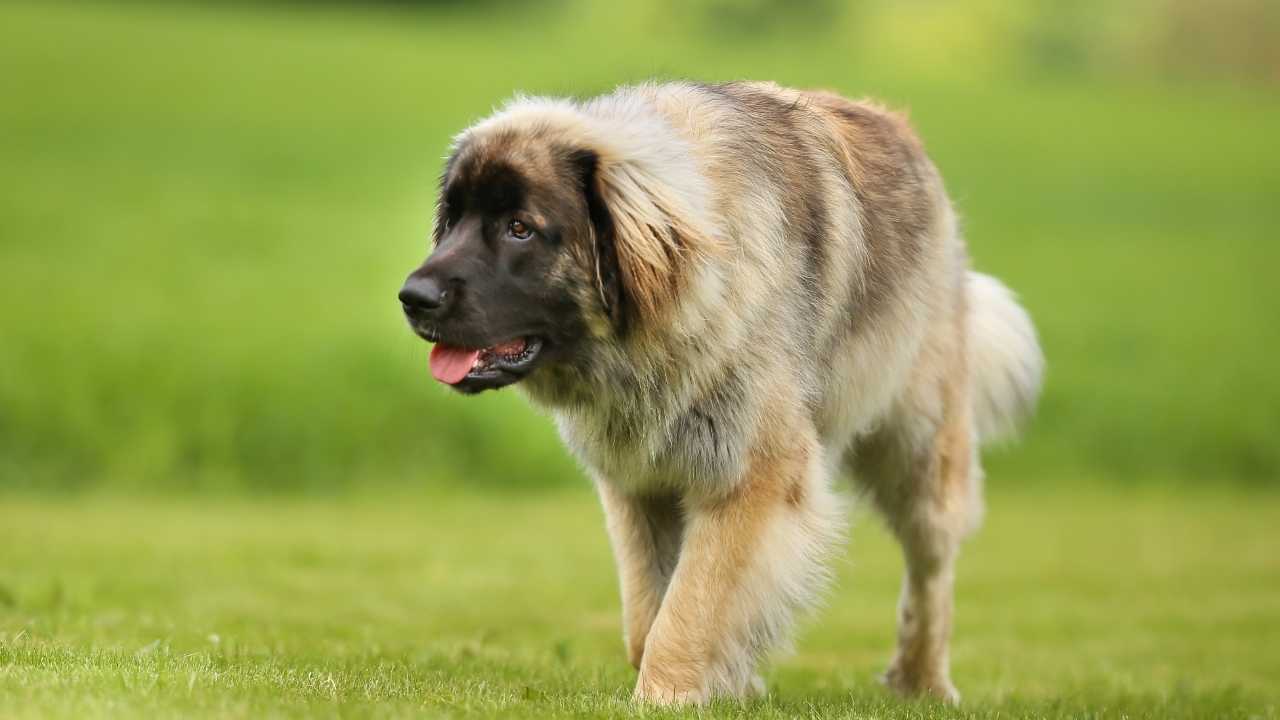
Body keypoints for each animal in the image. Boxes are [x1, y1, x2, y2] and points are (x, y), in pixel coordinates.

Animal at [396, 79, 1039, 702]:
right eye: (453, 222)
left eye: (520, 229)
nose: (413, 297)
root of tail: (902, 132)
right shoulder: (639, 485)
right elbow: (647, 613)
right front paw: (713, 679)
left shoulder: (748, 478)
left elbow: (689, 610)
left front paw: (667, 695)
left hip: (919, 444)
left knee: (930, 566)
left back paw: (921, 679)